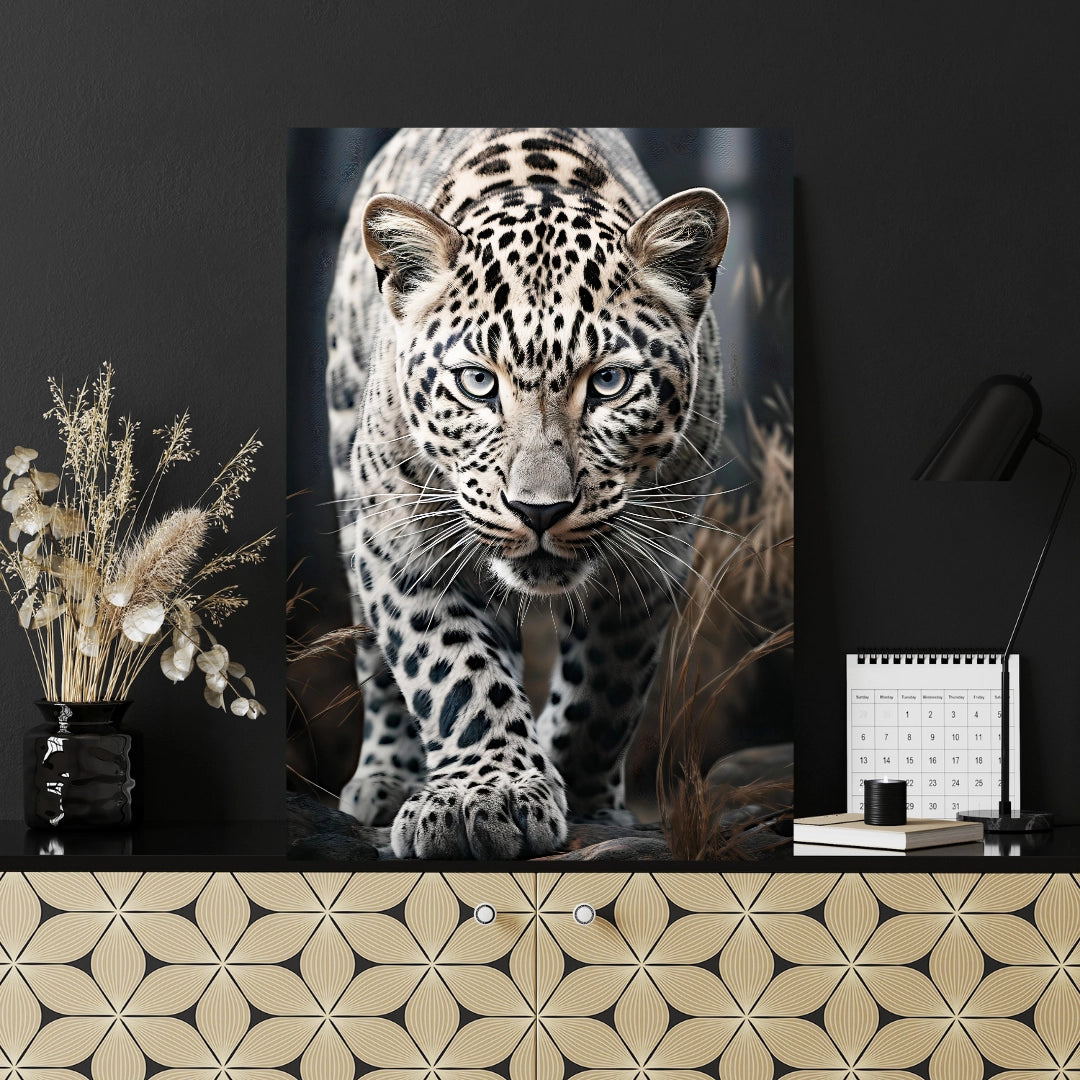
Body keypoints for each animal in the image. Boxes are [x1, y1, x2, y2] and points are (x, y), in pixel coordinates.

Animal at [325, 128, 729, 859]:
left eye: (609, 383)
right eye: (478, 383)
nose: (539, 510)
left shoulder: (654, 561)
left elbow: (606, 692)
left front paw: (583, 797)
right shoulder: (401, 550)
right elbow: (454, 672)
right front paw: (484, 797)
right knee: (379, 661)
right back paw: (386, 778)